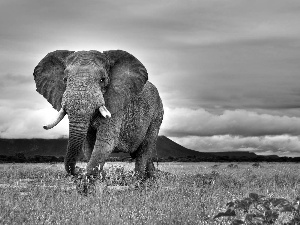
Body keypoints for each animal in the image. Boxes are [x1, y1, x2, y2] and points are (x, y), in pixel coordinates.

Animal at [33, 49, 164, 186]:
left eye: (102, 80)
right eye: (65, 79)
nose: (78, 171)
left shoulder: (116, 104)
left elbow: (105, 142)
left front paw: (90, 185)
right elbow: (88, 145)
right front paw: (99, 181)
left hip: (157, 115)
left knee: (145, 149)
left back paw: (138, 183)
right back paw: (151, 180)